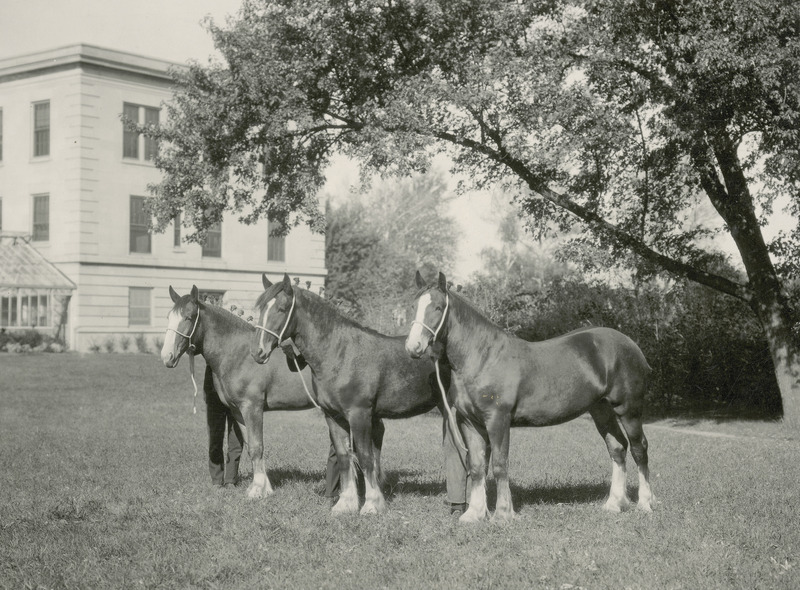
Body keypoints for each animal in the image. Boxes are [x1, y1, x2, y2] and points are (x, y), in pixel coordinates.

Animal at [161, 286, 324, 500]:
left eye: (188, 317)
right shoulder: (239, 411)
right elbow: (250, 446)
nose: (166, 357)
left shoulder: (252, 407)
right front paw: (265, 488)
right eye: (168, 317)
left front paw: (257, 491)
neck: (239, 353)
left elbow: (256, 446)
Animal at [250, 276, 462, 516]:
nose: (258, 352)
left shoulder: (359, 415)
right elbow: (344, 458)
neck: (340, 353)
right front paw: (345, 503)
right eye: (261, 309)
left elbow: (366, 458)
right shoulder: (333, 417)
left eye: (282, 308)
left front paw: (371, 504)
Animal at [404, 270, 652, 524]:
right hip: (601, 410)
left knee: (639, 448)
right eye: (413, 306)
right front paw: (474, 514)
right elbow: (476, 466)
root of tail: (632, 346)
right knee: (617, 448)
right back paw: (614, 504)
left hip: (629, 409)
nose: (413, 347)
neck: (483, 357)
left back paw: (645, 503)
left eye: (437, 307)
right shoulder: (469, 422)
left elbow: (500, 465)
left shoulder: (498, 420)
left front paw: (503, 514)